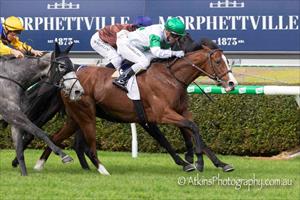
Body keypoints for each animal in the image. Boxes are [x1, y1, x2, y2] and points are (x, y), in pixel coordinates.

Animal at [0, 43, 83, 175]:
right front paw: (64, 155)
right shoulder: (12, 113)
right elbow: (39, 132)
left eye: (72, 66)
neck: (10, 78)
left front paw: (24, 174)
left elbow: (19, 150)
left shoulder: (14, 118)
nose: (78, 91)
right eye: (61, 66)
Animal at [35, 41, 237, 175]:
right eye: (218, 62)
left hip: (75, 118)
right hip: (85, 114)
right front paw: (197, 161)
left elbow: (195, 132)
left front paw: (218, 163)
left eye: (228, 61)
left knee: (57, 137)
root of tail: (68, 81)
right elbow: (190, 128)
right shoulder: (162, 114)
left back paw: (42, 164)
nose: (232, 83)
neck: (171, 78)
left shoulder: (180, 112)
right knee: (81, 142)